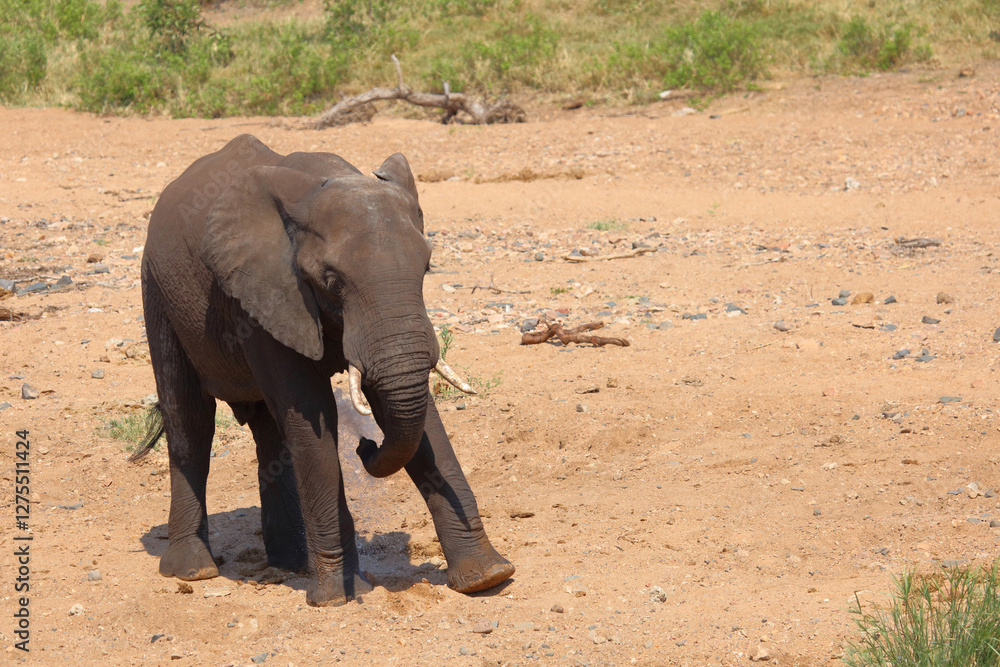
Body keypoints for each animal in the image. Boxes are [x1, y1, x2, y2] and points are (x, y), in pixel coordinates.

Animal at [130, 134, 514, 606]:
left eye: (426, 268)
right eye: (331, 280)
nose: (365, 446)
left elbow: (418, 419)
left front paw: (488, 577)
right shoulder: (265, 292)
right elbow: (314, 418)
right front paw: (336, 597)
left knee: (269, 431)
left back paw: (292, 565)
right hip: (157, 291)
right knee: (190, 421)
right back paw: (194, 571)